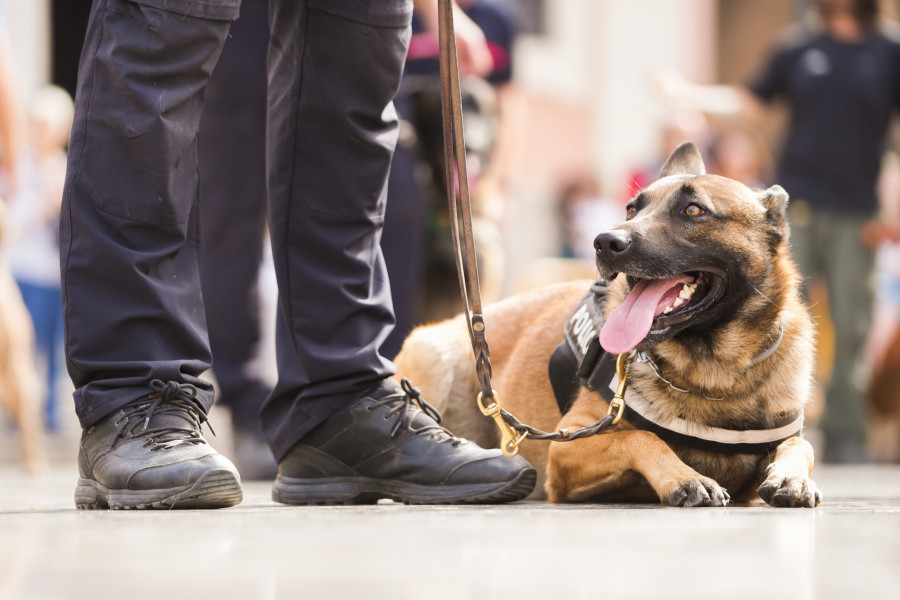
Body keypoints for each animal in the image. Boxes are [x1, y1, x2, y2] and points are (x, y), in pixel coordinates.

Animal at [398, 141, 820, 506]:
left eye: (693, 210)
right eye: (632, 210)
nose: (604, 242)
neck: (714, 374)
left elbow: (800, 444)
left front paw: (792, 477)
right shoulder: (568, 446)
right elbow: (641, 438)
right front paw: (684, 477)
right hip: (434, 356)